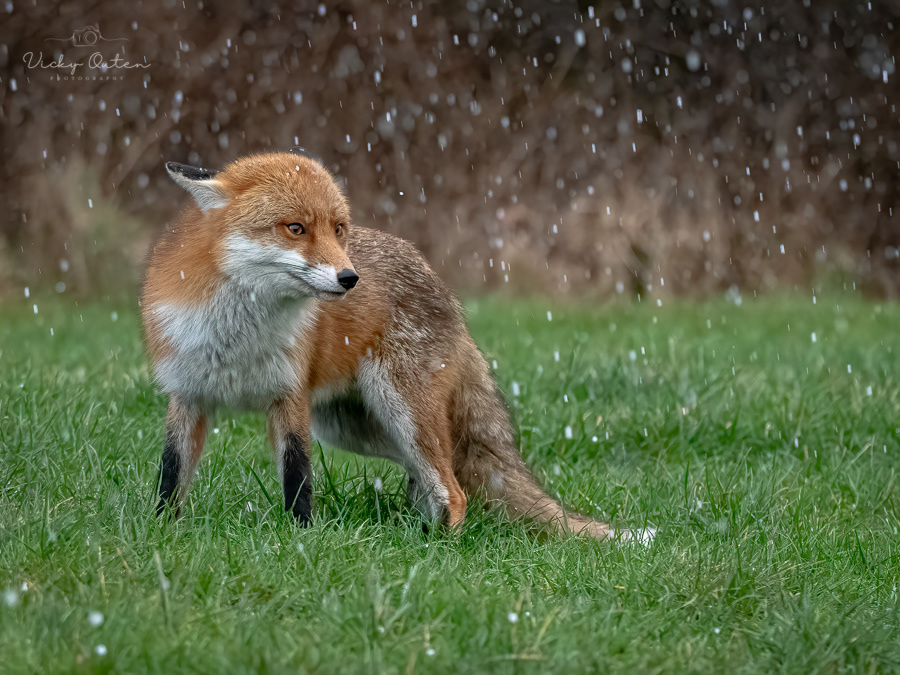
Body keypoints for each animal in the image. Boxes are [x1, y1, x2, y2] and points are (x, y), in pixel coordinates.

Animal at [142, 149, 652, 543]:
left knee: (454, 489)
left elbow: (297, 477)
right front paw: (162, 531)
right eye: (295, 228)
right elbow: (171, 472)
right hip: (354, 424)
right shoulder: (188, 394)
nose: (349, 278)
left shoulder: (289, 398)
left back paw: (437, 548)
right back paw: (416, 526)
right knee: (436, 476)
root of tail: (444, 289)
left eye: (339, 228)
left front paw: (299, 540)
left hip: (399, 407)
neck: (239, 337)